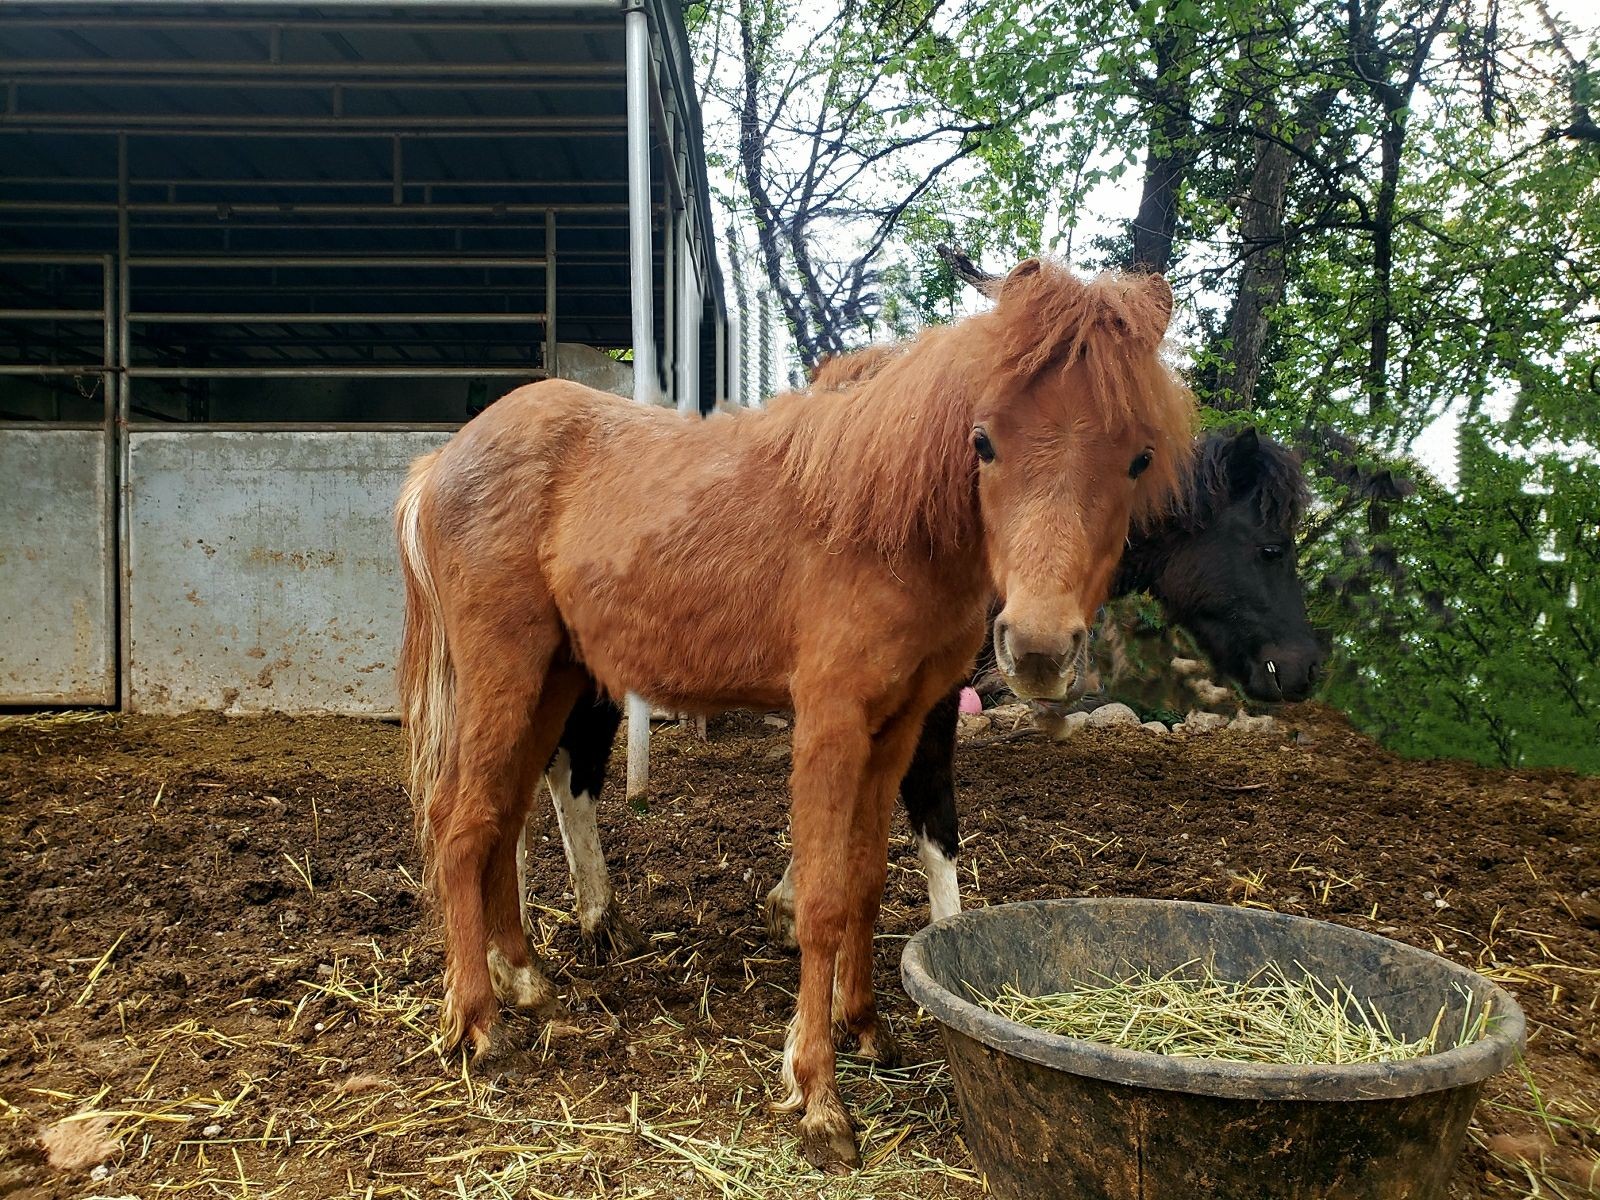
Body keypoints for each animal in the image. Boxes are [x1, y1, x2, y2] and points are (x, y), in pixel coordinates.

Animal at [390, 259, 1190, 1171]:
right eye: (984, 441)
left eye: (1138, 457)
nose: (1039, 649)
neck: (884, 525)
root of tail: (444, 460)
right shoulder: (831, 723)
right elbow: (822, 899)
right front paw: (817, 1096)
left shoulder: (899, 729)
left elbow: (869, 879)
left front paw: (868, 1029)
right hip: (507, 673)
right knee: (460, 821)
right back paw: (476, 1025)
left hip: (552, 678)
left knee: (502, 817)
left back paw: (528, 985)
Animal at [531, 428, 1318, 966]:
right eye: (1272, 547)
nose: (1304, 670)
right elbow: (936, 818)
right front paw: (948, 943)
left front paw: (785, 907)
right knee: (561, 774)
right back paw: (586, 924)